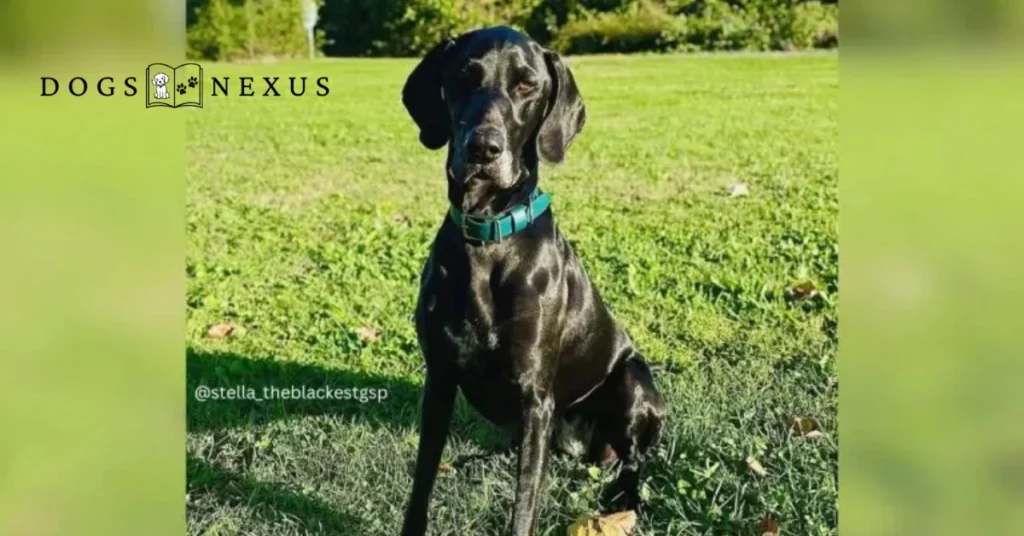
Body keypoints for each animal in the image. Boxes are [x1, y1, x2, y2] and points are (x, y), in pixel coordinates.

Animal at [395, 26, 667, 536]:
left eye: (526, 85)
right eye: (464, 76)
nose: (483, 149)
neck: (487, 235)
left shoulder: (535, 394)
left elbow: (524, 506)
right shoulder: (439, 379)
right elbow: (421, 482)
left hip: (633, 383)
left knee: (634, 462)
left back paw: (624, 497)